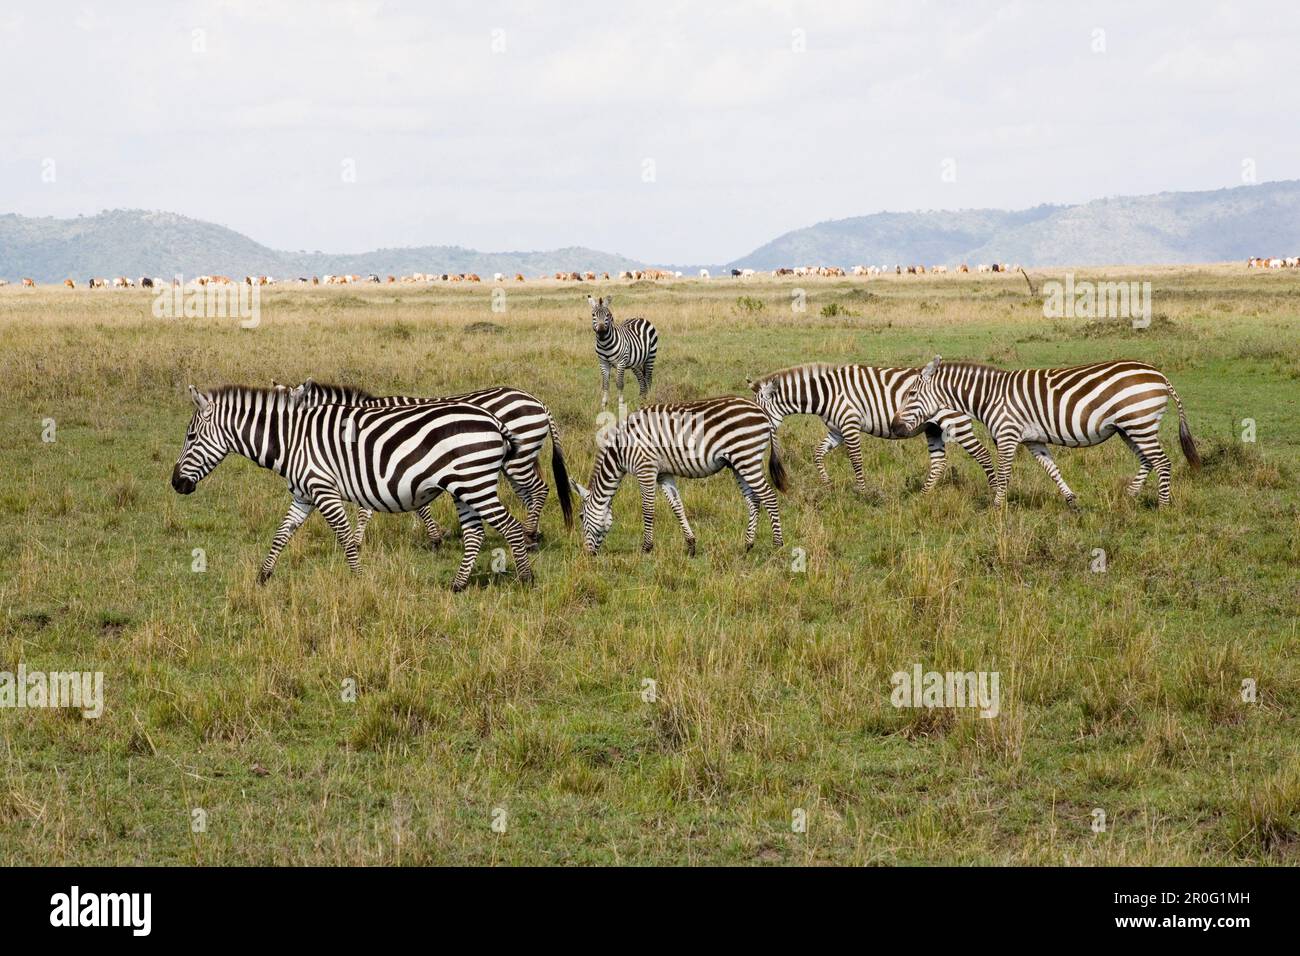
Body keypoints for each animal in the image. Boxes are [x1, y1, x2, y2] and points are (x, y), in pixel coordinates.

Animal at [170, 384, 534, 591]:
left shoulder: (324, 491)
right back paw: (457, 585)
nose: (176, 484)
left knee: (512, 527)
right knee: (475, 534)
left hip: (475, 484)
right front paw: (263, 576)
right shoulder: (303, 495)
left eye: (190, 436)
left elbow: (346, 537)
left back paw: (526, 580)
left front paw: (358, 578)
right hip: (464, 487)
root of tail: (494, 421)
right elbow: (282, 534)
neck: (292, 441)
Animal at [281, 380, 572, 549]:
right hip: (516, 461)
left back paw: (531, 534)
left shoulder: (395, 465)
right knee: (528, 494)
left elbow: (404, 508)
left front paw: (434, 539)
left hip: (517, 460)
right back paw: (531, 535)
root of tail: (537, 401)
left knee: (539, 490)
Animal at [571, 396, 785, 556]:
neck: (620, 450)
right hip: (738, 463)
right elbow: (677, 506)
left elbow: (648, 509)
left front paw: (646, 548)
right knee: (754, 500)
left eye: (581, 517)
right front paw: (691, 545)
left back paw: (777, 544)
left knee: (768, 496)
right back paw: (748, 544)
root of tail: (762, 410)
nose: (588, 554)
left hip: (746, 456)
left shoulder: (645, 468)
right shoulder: (663, 474)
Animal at [747, 363, 995, 493]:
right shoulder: (836, 431)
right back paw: (924, 495)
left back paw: (994, 490)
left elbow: (856, 460)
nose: (756, 431)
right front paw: (828, 484)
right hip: (933, 428)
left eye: (760, 413)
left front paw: (863, 493)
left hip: (954, 423)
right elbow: (817, 454)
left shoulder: (849, 424)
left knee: (983, 455)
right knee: (939, 462)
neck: (827, 393)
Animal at [890, 357, 1200, 507]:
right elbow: (1052, 470)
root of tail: (1159, 374)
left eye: (911, 393)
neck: (990, 396)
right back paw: (1130, 496)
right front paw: (1072, 502)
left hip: (1139, 423)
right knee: (1148, 460)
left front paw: (997, 507)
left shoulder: (1007, 434)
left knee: (1162, 462)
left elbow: (1003, 473)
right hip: (1129, 427)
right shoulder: (1033, 440)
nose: (894, 426)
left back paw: (1162, 506)